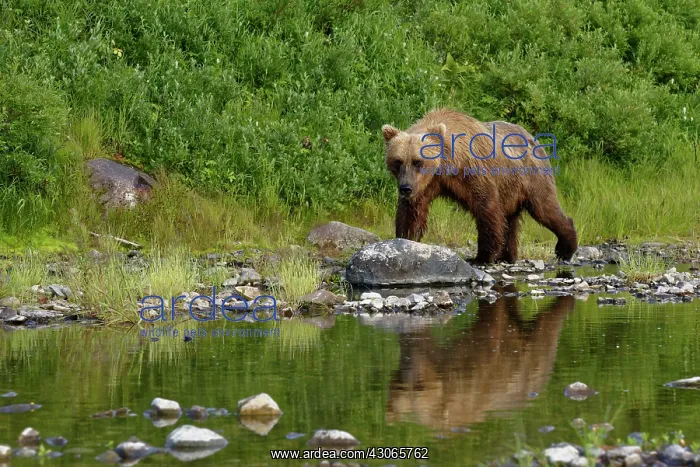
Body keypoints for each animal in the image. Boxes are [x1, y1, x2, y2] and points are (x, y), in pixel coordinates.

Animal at [382, 108, 578, 264]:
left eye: (418, 161)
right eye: (398, 161)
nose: (405, 188)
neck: (446, 165)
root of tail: (533, 139)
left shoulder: (473, 173)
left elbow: (486, 207)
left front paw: (482, 256)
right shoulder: (426, 184)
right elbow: (412, 211)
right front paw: (407, 239)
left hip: (531, 176)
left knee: (545, 208)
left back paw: (565, 249)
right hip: (511, 188)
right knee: (511, 220)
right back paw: (508, 256)